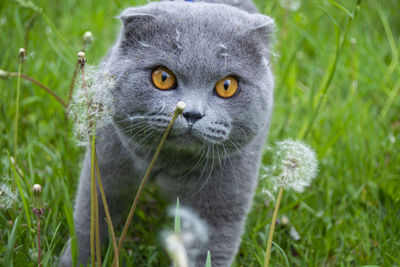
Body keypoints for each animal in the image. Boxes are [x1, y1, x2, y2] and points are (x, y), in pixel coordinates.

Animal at [61, 0, 276, 266]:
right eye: (163, 77)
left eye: (227, 86)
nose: (192, 113)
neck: (168, 162)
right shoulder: (106, 168)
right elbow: (89, 220)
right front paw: (74, 259)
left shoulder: (221, 199)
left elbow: (210, 250)